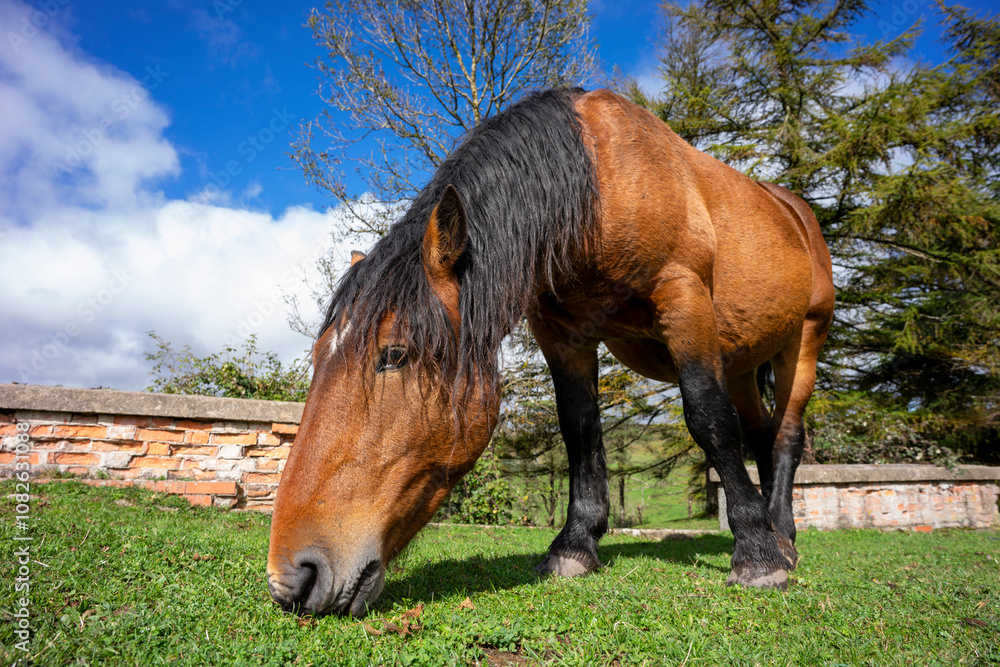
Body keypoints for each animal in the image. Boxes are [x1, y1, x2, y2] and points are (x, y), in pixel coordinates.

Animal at [266, 88, 835, 617]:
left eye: (394, 355)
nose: (292, 577)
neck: (598, 183)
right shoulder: (562, 333)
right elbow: (579, 429)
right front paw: (575, 546)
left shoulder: (684, 297)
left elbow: (708, 419)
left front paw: (756, 555)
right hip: (741, 361)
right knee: (761, 433)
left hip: (803, 342)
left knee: (786, 435)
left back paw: (781, 539)